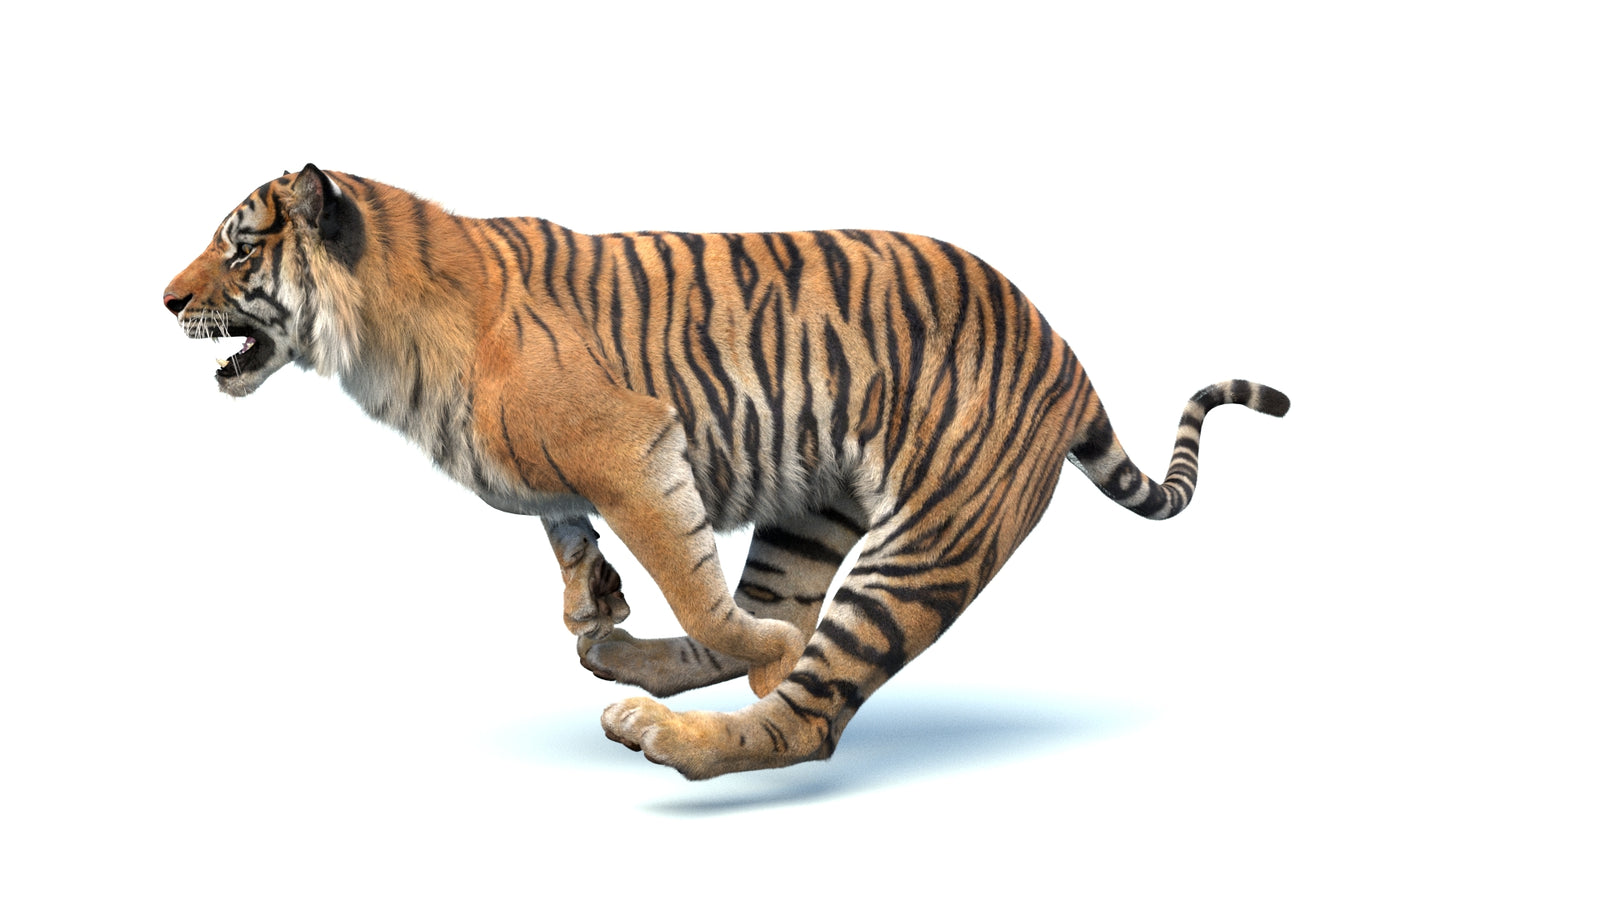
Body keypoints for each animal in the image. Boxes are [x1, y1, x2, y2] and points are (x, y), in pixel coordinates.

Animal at [163, 164, 1289, 780]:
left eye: (238, 249)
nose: (165, 299)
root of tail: (1062, 348)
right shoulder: (572, 481)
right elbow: (574, 543)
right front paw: (594, 602)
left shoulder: (633, 448)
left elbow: (693, 586)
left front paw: (709, 636)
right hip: (813, 513)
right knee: (759, 626)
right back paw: (627, 660)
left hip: (924, 546)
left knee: (807, 709)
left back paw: (684, 724)